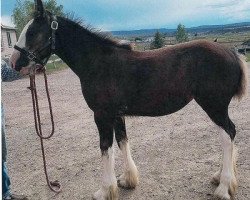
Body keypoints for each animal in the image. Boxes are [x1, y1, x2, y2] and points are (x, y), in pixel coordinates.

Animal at [9, 0, 248, 199]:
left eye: (32, 32)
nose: (13, 62)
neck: (98, 63)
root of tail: (232, 53)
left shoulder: (102, 116)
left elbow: (105, 147)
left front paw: (105, 190)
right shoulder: (117, 115)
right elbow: (122, 141)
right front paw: (127, 180)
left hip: (214, 106)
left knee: (228, 134)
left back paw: (224, 187)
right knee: (228, 135)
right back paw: (220, 177)